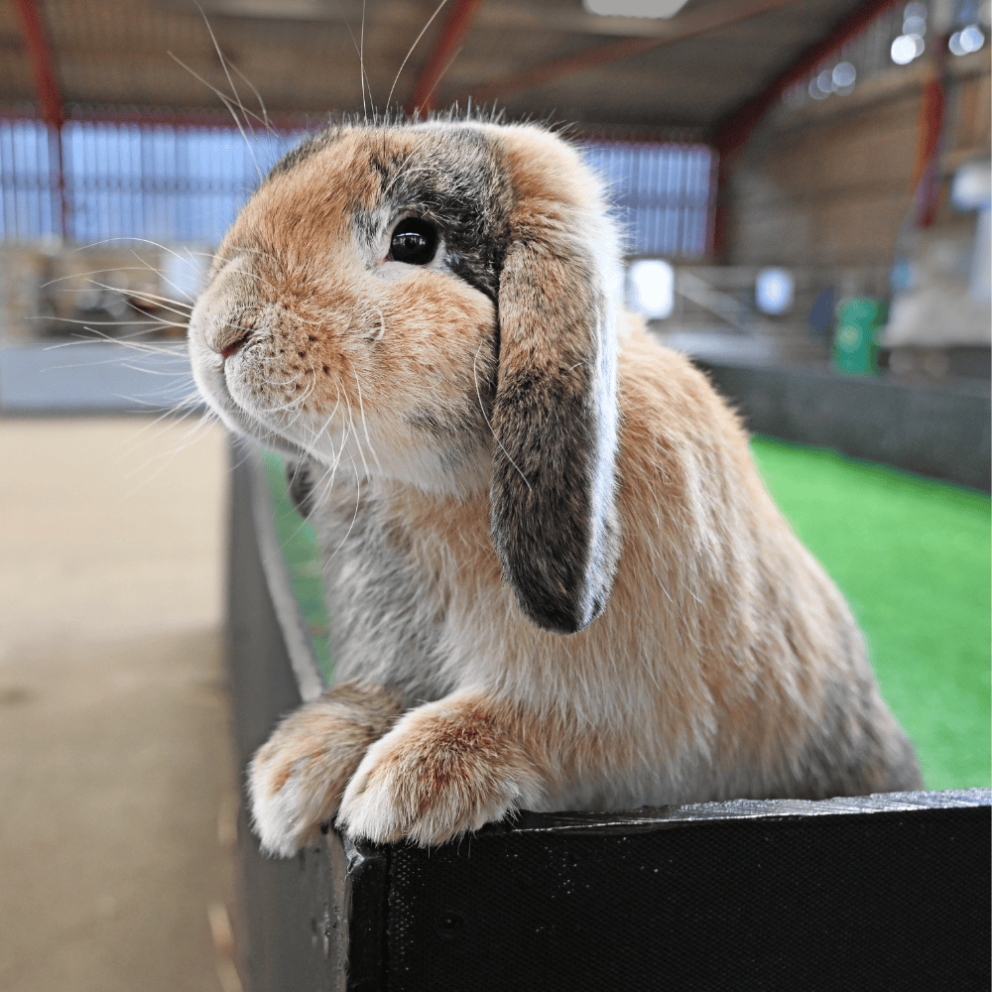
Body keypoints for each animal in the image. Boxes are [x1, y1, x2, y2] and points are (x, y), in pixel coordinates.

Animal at [186, 116, 924, 856]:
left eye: (414, 241)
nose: (223, 332)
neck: (441, 485)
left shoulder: (632, 718)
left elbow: (546, 723)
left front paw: (407, 785)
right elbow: (378, 694)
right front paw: (294, 772)